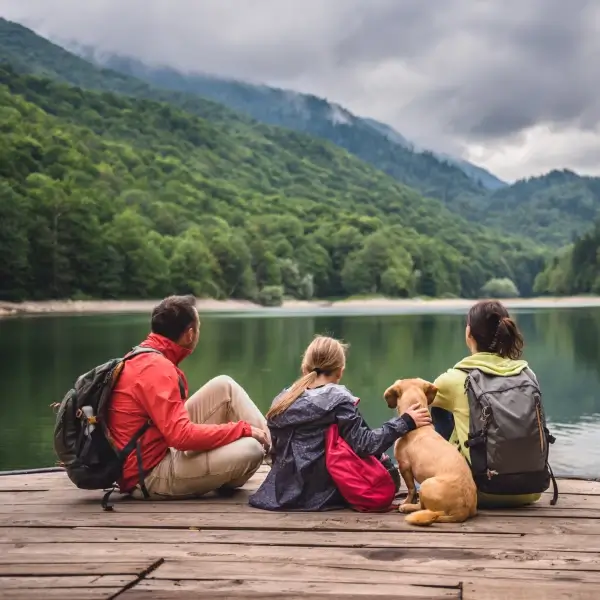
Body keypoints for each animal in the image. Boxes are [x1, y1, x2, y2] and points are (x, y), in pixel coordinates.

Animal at [384, 380, 478, 524]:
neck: (419, 427)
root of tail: (462, 511)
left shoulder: (404, 466)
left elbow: (411, 489)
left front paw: (406, 501)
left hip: (425, 484)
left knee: (422, 506)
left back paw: (406, 507)